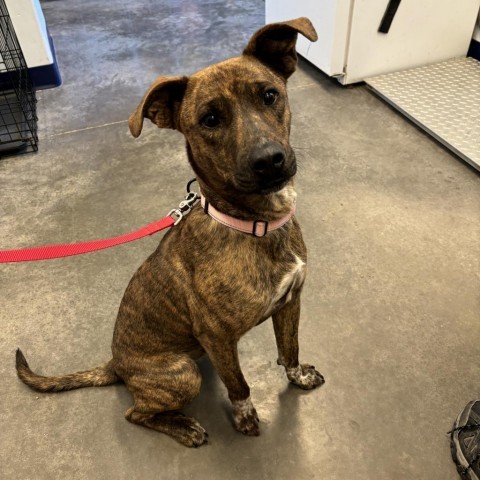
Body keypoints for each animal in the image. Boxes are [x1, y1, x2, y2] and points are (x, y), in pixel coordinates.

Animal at [18, 17, 326, 446]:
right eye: (209, 120)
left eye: (270, 95)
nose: (269, 160)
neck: (256, 226)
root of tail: (117, 364)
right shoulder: (216, 337)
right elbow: (239, 385)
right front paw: (245, 418)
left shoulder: (290, 303)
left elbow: (290, 349)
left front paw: (299, 377)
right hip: (183, 372)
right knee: (136, 413)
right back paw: (182, 427)